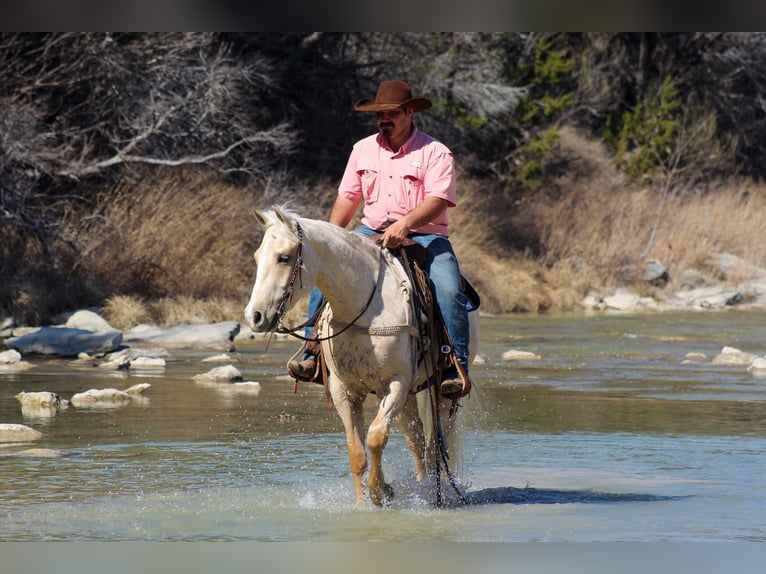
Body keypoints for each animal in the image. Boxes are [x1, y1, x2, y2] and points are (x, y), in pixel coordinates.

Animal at [244, 207, 480, 508]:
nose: (254, 316)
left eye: (284, 257)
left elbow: (376, 437)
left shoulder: (395, 384)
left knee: (436, 445)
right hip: (412, 394)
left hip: (440, 393)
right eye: (257, 256)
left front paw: (381, 492)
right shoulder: (344, 390)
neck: (365, 309)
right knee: (417, 439)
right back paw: (420, 486)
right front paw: (362, 503)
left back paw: (431, 493)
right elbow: (356, 451)